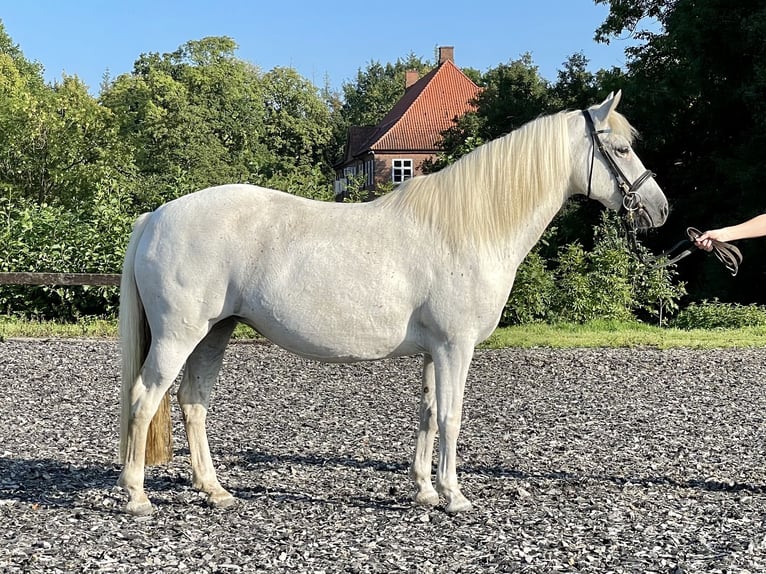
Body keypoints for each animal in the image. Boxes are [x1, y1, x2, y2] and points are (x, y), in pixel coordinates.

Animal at [117, 93, 668, 516]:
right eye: (620, 148)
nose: (660, 209)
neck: (468, 227)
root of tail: (155, 217)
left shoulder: (433, 351)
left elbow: (427, 413)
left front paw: (424, 490)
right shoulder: (455, 347)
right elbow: (451, 416)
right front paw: (454, 496)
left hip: (215, 332)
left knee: (193, 403)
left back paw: (215, 491)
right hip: (179, 335)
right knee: (144, 399)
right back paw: (138, 497)